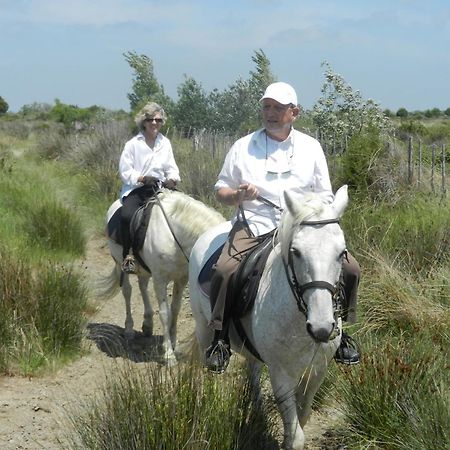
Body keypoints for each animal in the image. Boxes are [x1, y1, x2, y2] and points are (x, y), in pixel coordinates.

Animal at [104, 189, 225, 366]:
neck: (175, 236)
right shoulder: (160, 279)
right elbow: (165, 313)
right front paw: (168, 354)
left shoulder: (181, 278)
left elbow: (175, 308)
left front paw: (173, 342)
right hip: (120, 264)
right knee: (127, 291)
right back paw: (129, 329)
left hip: (145, 269)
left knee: (142, 285)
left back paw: (147, 324)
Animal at [188, 185, 350, 448]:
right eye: (296, 252)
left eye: (342, 252)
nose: (322, 328)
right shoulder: (280, 375)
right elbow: (296, 436)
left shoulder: (317, 372)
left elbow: (303, 416)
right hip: (203, 327)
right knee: (205, 367)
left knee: (253, 369)